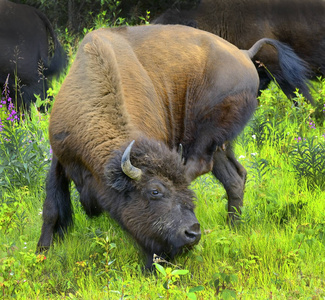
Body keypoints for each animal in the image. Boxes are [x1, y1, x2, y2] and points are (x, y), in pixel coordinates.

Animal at [36, 24, 308, 268]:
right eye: (154, 192)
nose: (192, 233)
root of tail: (244, 53)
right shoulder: (59, 156)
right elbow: (51, 207)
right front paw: (42, 252)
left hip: (207, 136)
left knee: (202, 166)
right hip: (221, 144)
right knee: (235, 177)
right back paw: (234, 227)